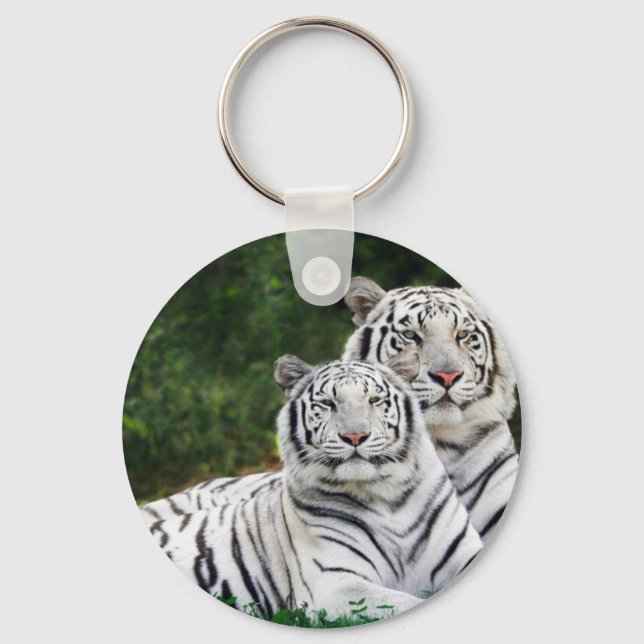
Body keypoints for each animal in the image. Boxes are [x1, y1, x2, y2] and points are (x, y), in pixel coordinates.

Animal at [143, 354, 482, 620]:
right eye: (328, 404)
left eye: (374, 400)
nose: (355, 437)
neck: (388, 497)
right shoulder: (335, 585)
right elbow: (406, 602)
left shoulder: (463, 552)